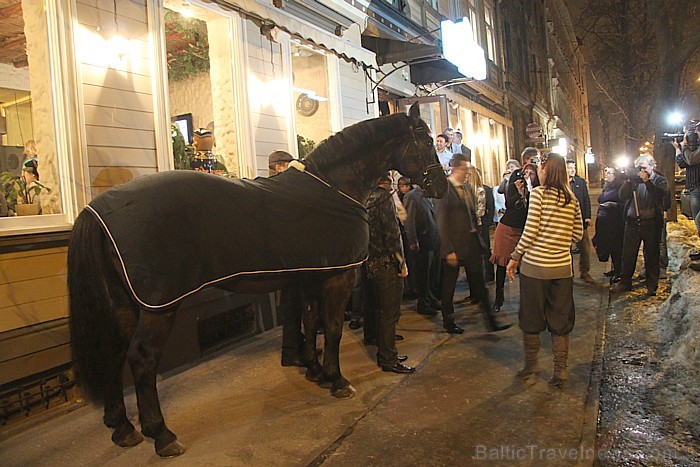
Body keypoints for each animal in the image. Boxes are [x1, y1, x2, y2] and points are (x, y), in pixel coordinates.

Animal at [68, 104, 446, 458]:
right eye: (428, 142)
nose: (440, 187)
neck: (334, 188)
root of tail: (96, 209)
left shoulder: (309, 276)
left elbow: (311, 322)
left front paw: (316, 372)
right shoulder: (338, 277)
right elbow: (333, 328)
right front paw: (338, 380)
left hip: (124, 303)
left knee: (112, 353)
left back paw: (123, 428)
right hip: (159, 306)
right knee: (142, 361)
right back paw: (162, 435)